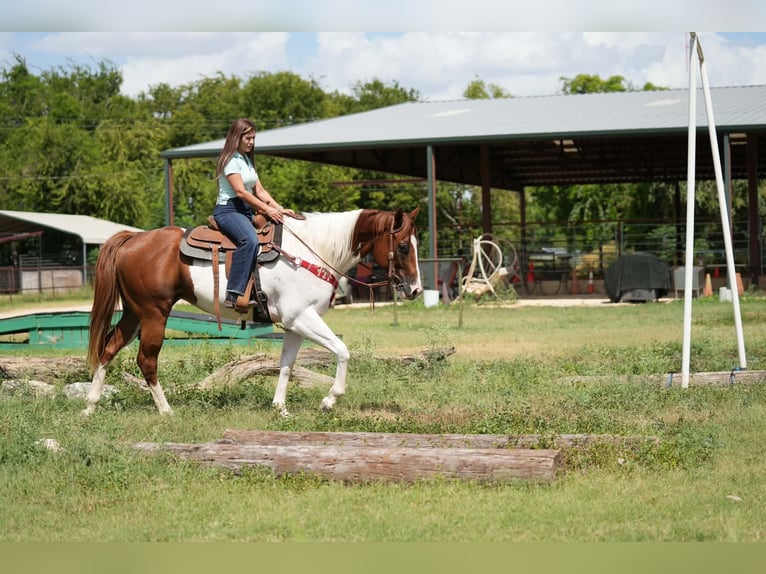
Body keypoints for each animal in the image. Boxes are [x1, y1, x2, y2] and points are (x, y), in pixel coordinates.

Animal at [84, 207, 422, 417]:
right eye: (403, 246)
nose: (416, 289)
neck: (313, 252)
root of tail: (134, 238)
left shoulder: (294, 325)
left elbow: (286, 365)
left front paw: (280, 408)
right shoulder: (303, 318)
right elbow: (342, 351)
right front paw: (329, 400)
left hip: (134, 313)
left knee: (109, 347)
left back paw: (90, 405)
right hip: (154, 313)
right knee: (147, 359)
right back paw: (166, 410)